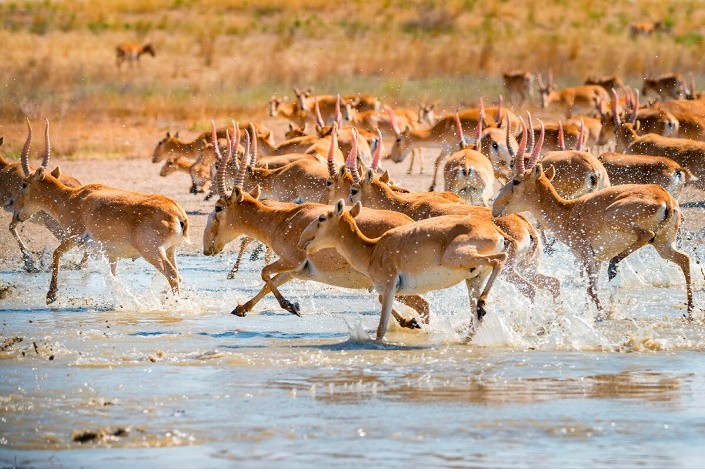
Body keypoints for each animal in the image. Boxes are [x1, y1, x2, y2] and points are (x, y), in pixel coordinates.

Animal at [202, 144, 428, 328]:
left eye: (218, 207)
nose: (207, 248)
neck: (282, 219)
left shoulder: (292, 259)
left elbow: (264, 273)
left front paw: (292, 306)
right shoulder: (295, 270)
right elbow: (269, 282)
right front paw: (241, 308)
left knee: (421, 305)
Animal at [296, 199, 506, 340]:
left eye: (321, 217)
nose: (301, 242)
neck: (373, 250)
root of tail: (494, 229)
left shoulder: (389, 286)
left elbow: (381, 327)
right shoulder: (393, 290)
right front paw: (411, 322)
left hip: (458, 258)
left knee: (500, 259)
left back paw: (482, 304)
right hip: (473, 278)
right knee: (475, 316)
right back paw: (471, 328)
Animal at [492, 118, 692, 320]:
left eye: (516, 181)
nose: (495, 208)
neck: (569, 211)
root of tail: (665, 199)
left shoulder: (587, 256)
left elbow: (591, 290)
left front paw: (600, 315)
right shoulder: (596, 260)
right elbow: (590, 289)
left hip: (619, 221)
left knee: (646, 235)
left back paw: (614, 267)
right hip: (663, 245)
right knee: (684, 259)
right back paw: (690, 312)